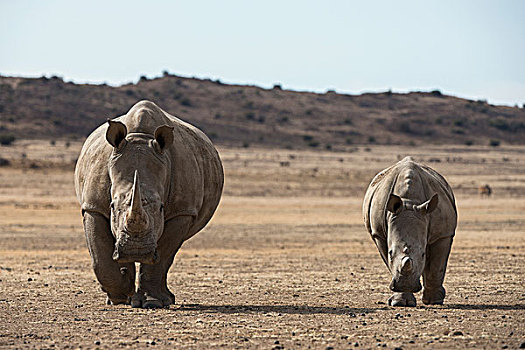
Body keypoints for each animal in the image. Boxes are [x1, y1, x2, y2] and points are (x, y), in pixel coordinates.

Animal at [73, 100, 221, 308]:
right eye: (112, 206)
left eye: (161, 208)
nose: (136, 251)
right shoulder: (93, 206)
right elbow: (99, 256)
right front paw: (121, 295)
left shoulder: (182, 211)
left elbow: (163, 256)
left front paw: (152, 302)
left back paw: (167, 298)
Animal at [364, 157, 454, 306]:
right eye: (390, 253)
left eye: (423, 254)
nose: (407, 285)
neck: (409, 202)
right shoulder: (378, 234)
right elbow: (391, 264)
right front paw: (400, 302)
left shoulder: (443, 234)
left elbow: (437, 267)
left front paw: (434, 301)